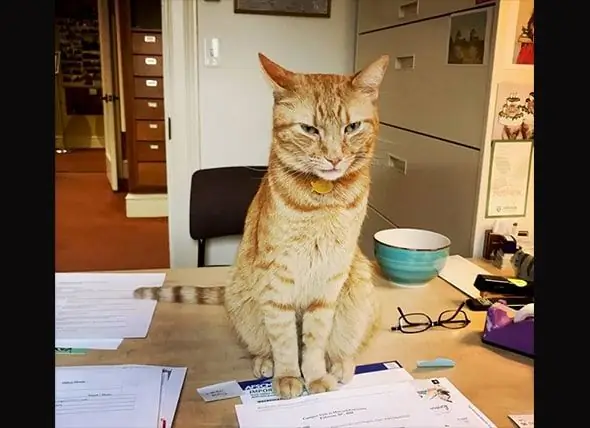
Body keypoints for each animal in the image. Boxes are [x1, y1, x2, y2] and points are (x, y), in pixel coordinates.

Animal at [136, 52, 390, 398]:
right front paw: (288, 375)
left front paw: (314, 375)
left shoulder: (329, 280)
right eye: (309, 129)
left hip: (359, 287)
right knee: (262, 343)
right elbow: (284, 340)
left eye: (352, 127)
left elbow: (314, 341)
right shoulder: (276, 278)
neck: (321, 202)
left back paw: (340, 363)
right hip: (241, 294)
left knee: (344, 343)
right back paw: (265, 362)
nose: (335, 158)